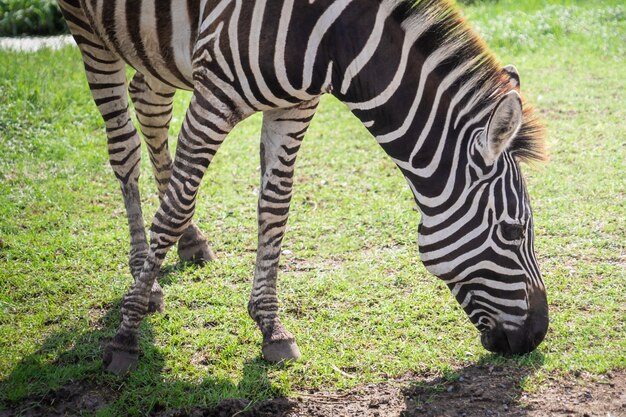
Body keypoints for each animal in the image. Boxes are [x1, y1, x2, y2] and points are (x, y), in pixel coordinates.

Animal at [57, 0, 544, 374]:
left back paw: (190, 243)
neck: (333, 39)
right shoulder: (214, 96)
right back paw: (145, 280)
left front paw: (271, 328)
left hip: (154, 46)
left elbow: (275, 206)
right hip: (89, 31)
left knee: (149, 104)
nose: (538, 335)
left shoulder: (295, 106)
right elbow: (177, 204)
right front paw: (125, 338)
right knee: (124, 149)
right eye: (513, 231)